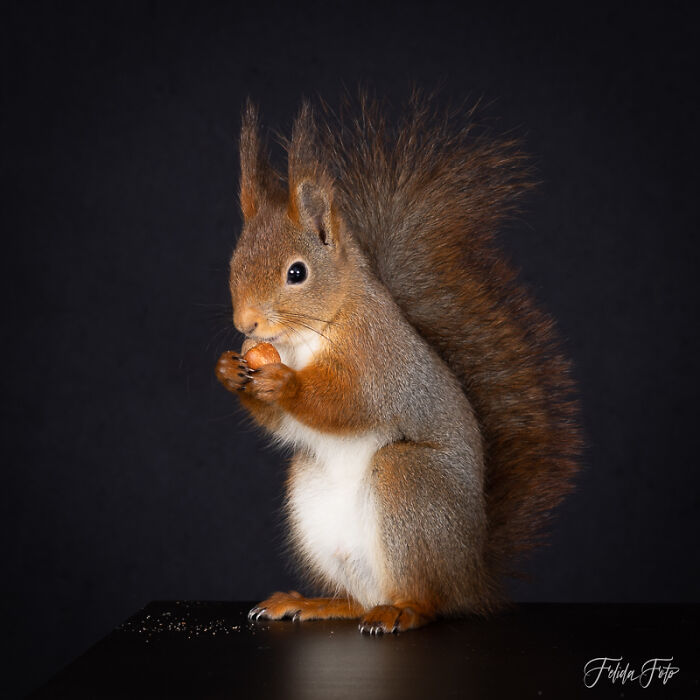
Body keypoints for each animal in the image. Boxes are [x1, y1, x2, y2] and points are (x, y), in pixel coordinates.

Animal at [215, 95, 580, 634]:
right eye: (234, 263)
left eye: (296, 273)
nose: (247, 323)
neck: (308, 337)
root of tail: (470, 576)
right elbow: (283, 423)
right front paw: (228, 370)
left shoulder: (378, 359)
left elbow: (348, 404)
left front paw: (284, 383)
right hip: (314, 501)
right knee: (359, 599)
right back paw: (315, 603)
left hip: (408, 481)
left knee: (427, 599)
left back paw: (404, 611)